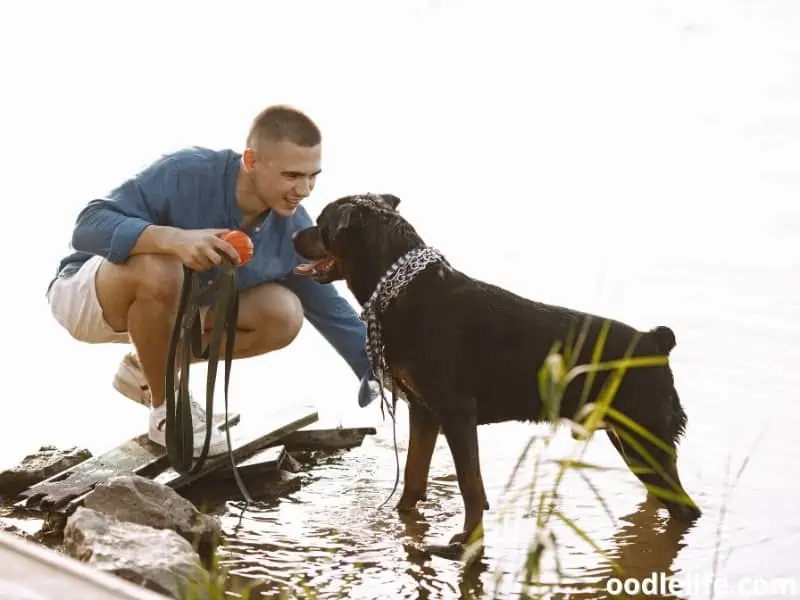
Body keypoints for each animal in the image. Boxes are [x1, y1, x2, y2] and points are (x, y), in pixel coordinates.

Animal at [292, 193, 700, 552]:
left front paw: (468, 539)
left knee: (685, 508)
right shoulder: (424, 411)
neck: (403, 290)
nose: (294, 235)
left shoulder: (456, 412)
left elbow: (470, 485)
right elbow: (413, 475)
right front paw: (404, 519)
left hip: (644, 438)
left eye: (322, 224)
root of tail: (655, 341)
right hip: (631, 439)